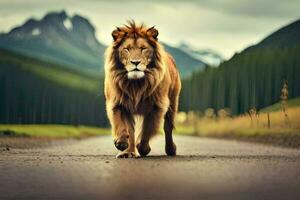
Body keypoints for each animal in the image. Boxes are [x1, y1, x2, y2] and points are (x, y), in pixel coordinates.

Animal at [104, 21, 182, 158]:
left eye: (143, 49)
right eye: (126, 49)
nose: (135, 62)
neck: (135, 85)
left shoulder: (157, 106)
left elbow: (147, 129)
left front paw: (143, 148)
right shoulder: (118, 103)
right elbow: (123, 126)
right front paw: (123, 146)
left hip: (173, 102)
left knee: (168, 127)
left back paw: (171, 150)